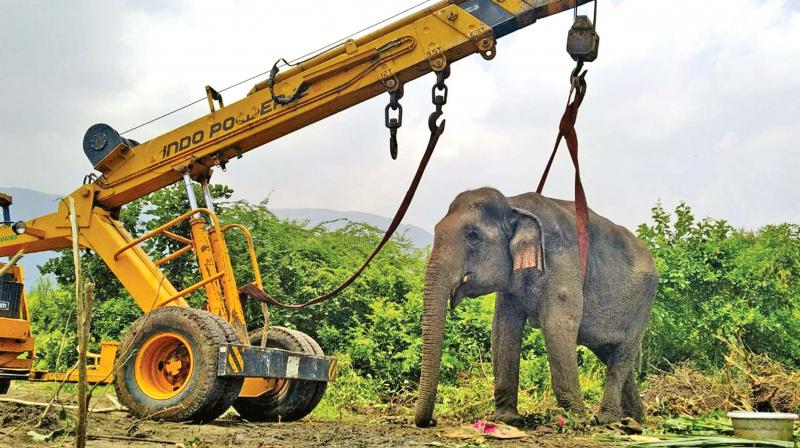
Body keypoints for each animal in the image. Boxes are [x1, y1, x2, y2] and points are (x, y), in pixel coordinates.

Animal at [416, 186, 660, 428]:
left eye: (472, 235)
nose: (432, 421)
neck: (514, 204)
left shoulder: (562, 262)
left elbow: (558, 326)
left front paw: (577, 420)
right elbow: (503, 330)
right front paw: (505, 419)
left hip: (643, 304)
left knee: (622, 355)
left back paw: (607, 419)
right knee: (609, 355)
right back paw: (635, 421)